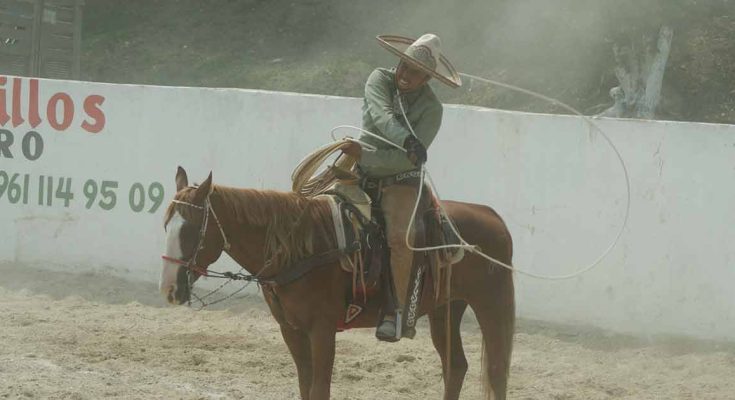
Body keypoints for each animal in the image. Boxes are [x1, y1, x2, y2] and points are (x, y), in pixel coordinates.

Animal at [161, 166, 516, 400]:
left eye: (190, 228)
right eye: (167, 225)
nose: (170, 290)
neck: (301, 248)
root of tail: (493, 217)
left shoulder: (322, 330)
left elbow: (319, 389)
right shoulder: (291, 330)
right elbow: (305, 387)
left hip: (491, 305)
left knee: (497, 370)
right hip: (447, 309)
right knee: (456, 367)